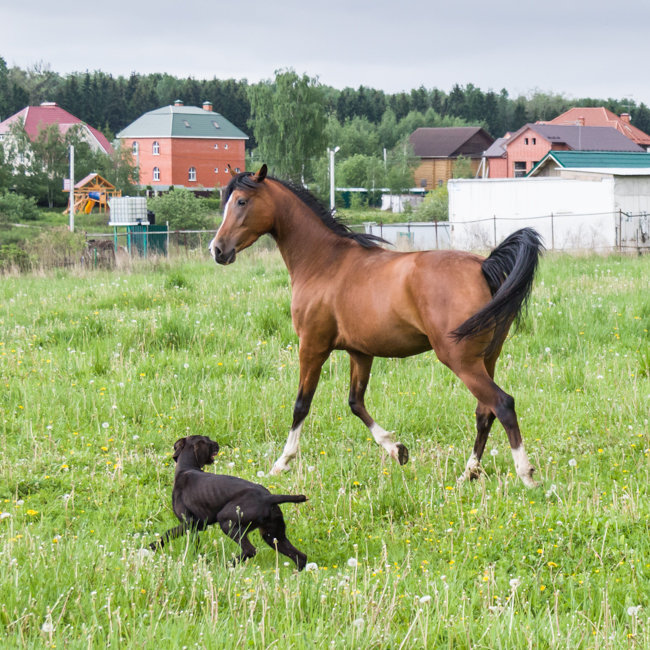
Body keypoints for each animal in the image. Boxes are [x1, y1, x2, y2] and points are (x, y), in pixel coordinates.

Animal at [149, 436, 306, 568]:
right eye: (208, 440)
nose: (217, 443)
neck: (186, 468)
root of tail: (268, 497)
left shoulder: (190, 523)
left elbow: (169, 533)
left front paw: (153, 547)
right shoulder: (197, 525)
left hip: (227, 522)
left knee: (250, 550)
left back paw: (226, 565)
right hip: (273, 535)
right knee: (301, 557)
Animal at [209, 165, 540, 484]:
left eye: (241, 201)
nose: (217, 250)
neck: (323, 262)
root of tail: (483, 267)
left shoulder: (312, 347)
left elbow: (302, 404)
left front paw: (282, 462)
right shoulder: (360, 352)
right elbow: (355, 402)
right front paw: (397, 450)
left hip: (461, 360)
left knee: (503, 403)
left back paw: (526, 475)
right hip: (487, 358)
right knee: (485, 412)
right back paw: (468, 473)